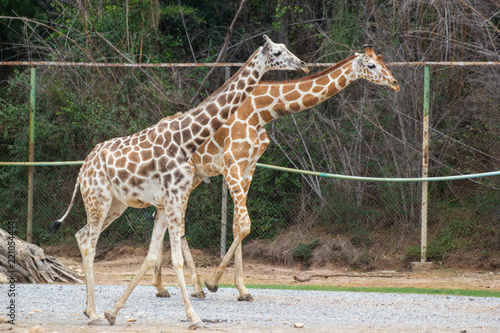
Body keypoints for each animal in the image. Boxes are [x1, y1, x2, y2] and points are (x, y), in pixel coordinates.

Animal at [52, 35, 306, 328]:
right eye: (277, 53)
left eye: (286, 49)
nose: (302, 64)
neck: (187, 140)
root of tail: (82, 169)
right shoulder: (173, 197)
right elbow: (175, 259)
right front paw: (194, 316)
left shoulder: (169, 201)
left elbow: (155, 254)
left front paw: (114, 311)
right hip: (98, 199)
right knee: (89, 242)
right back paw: (92, 313)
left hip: (115, 204)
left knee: (81, 235)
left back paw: (90, 310)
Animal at [151, 44, 398, 300]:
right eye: (372, 65)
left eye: (382, 61)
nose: (395, 83)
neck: (261, 112)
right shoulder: (231, 163)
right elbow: (244, 224)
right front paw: (213, 282)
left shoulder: (248, 166)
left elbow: (237, 225)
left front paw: (242, 289)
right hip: (184, 177)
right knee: (175, 222)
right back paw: (192, 286)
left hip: (194, 177)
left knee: (163, 216)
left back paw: (165, 286)